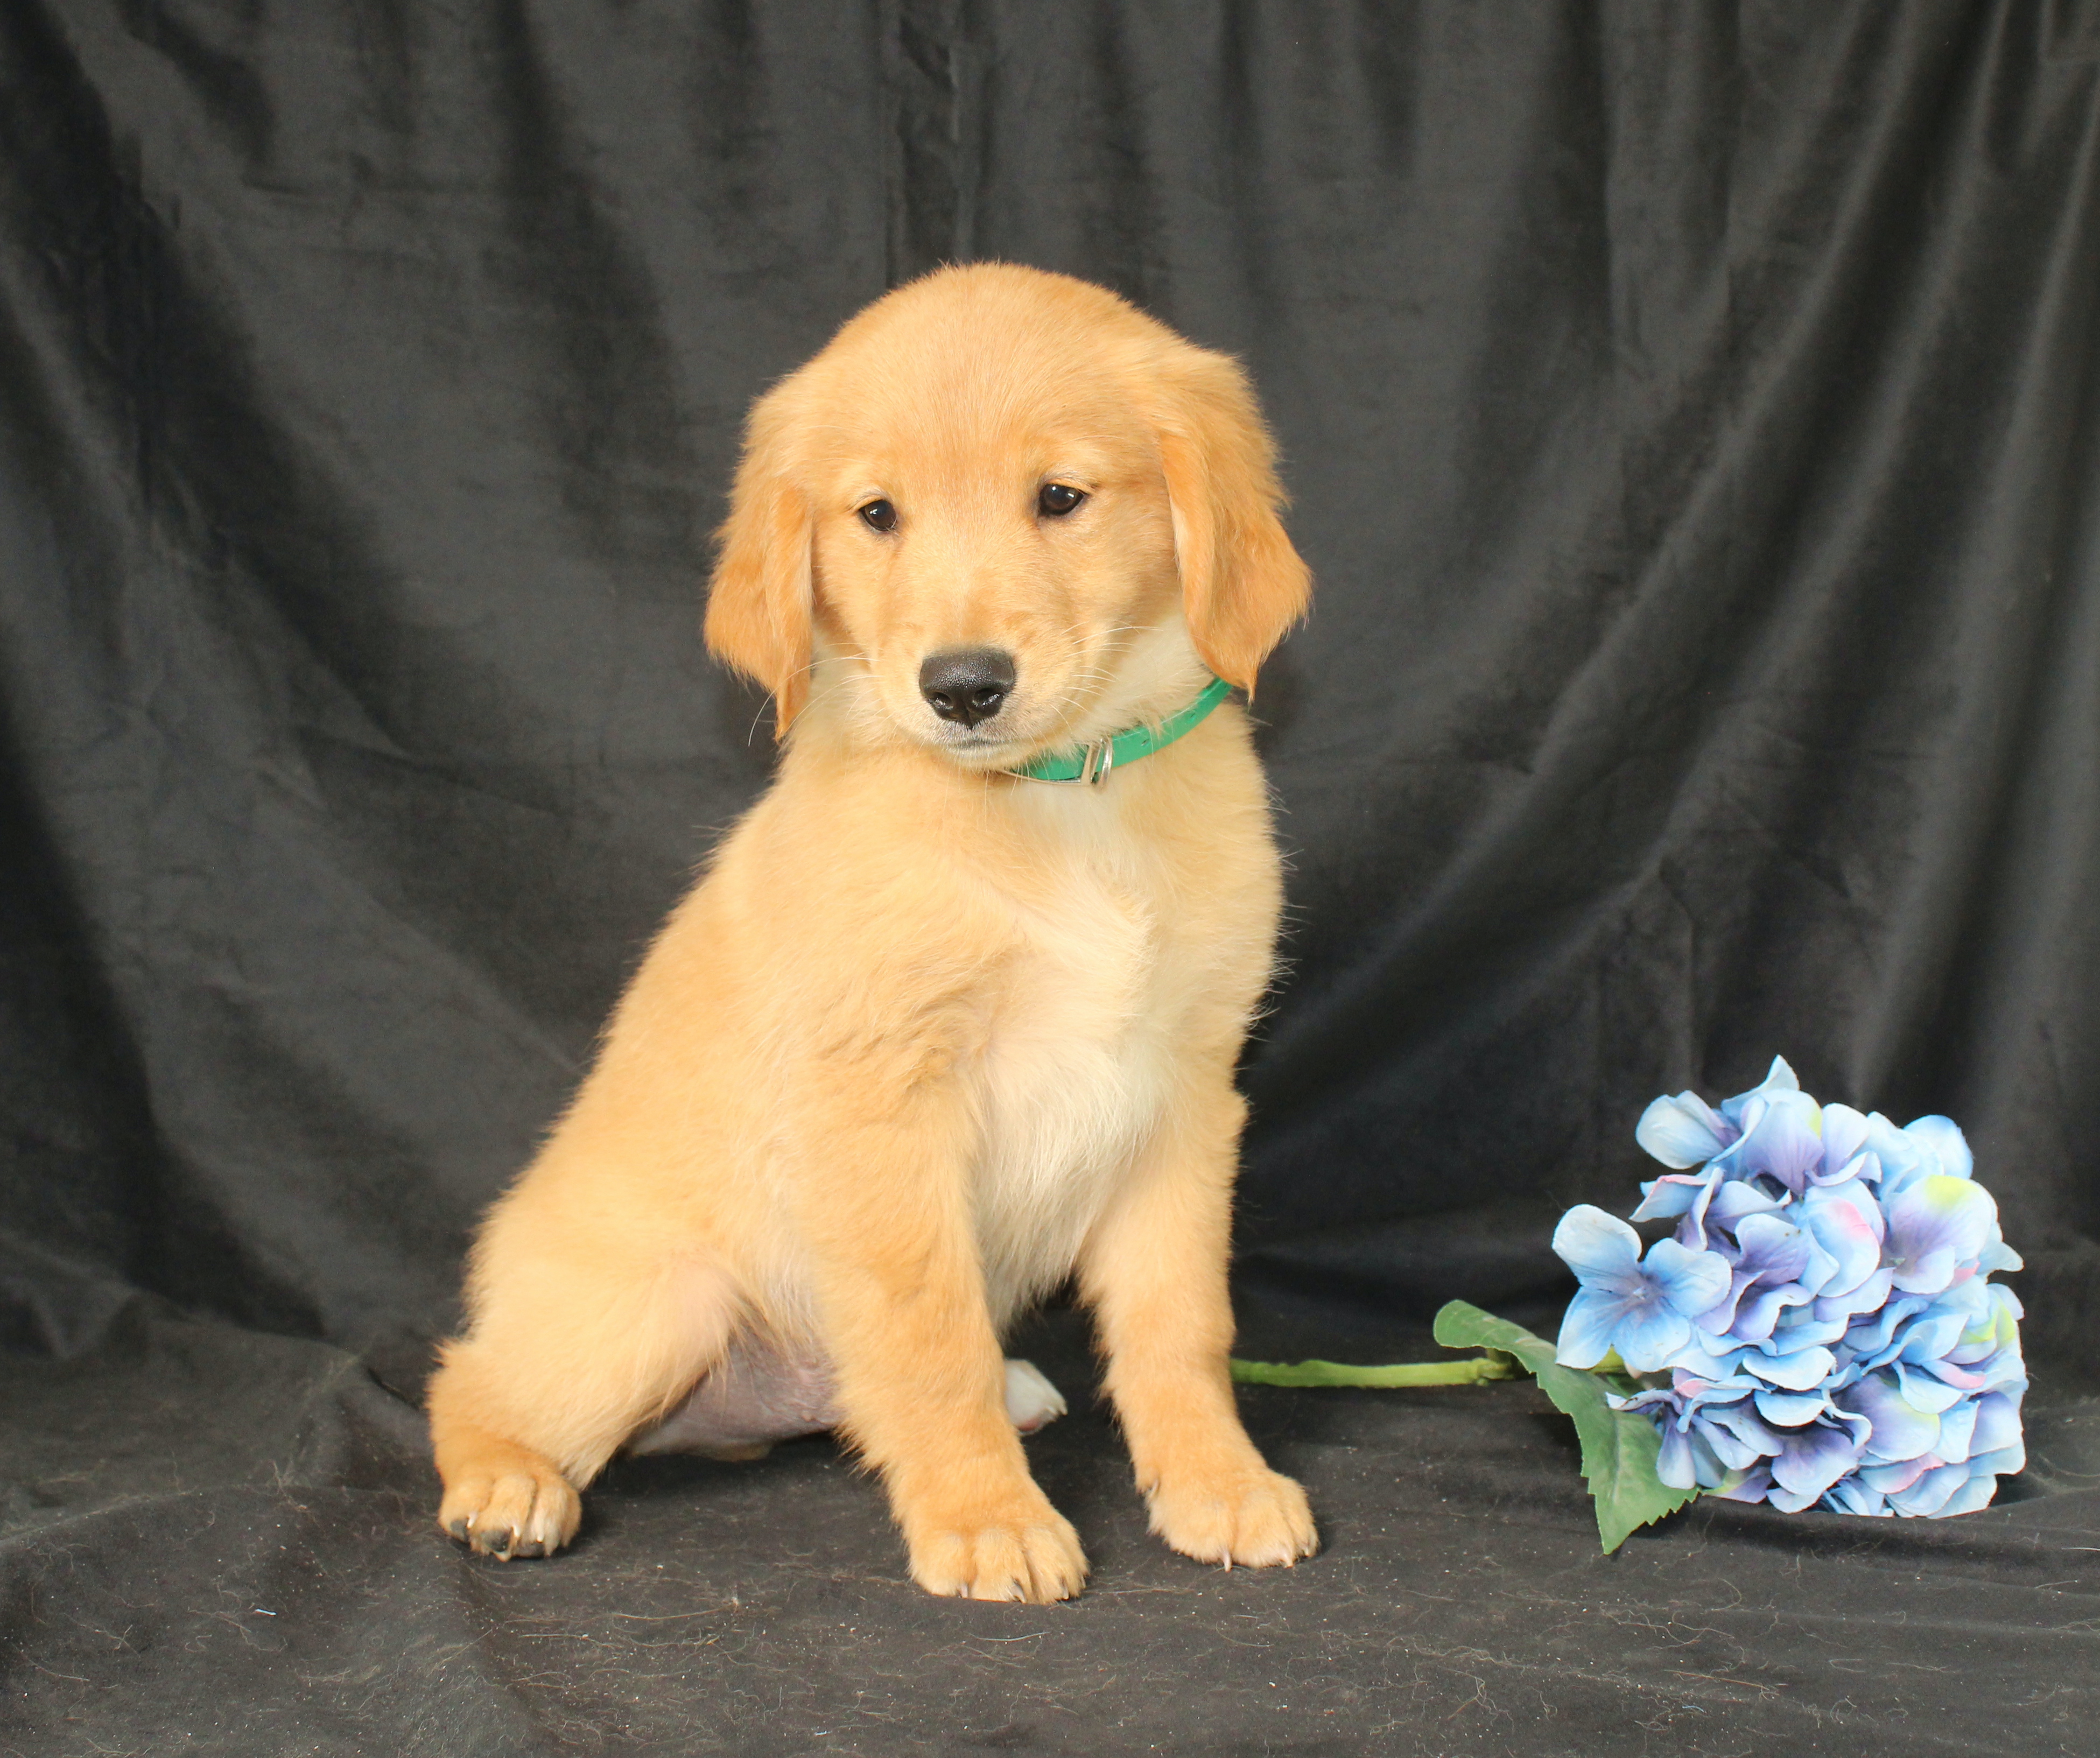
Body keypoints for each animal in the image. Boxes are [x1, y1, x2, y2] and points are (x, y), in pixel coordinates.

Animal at [424, 263, 1310, 1605]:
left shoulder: (1187, 1095)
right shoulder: (883, 1105)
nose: (963, 686)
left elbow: (1179, 1325)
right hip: (657, 1308)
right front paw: (986, 1517)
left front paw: (1217, 1480)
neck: (1059, 803)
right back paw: (506, 1487)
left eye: (1061, 498)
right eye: (876, 514)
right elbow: (926, 1332)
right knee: (466, 1379)